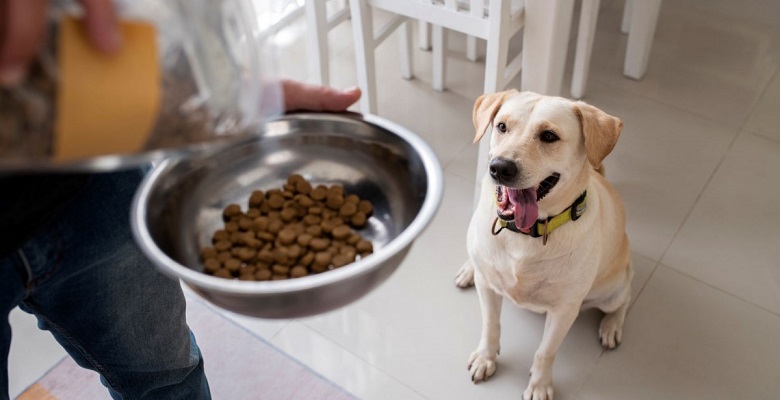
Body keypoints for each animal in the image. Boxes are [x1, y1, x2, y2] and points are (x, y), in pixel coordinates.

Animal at [458, 90, 632, 400]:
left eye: (549, 136)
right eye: (501, 126)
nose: (499, 167)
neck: (525, 234)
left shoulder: (564, 311)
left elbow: (545, 352)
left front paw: (539, 385)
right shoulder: (488, 288)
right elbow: (491, 326)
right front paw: (486, 357)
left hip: (611, 290)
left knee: (625, 298)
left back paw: (612, 325)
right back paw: (469, 269)